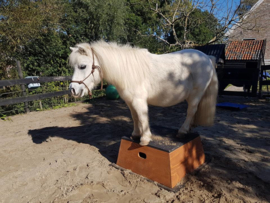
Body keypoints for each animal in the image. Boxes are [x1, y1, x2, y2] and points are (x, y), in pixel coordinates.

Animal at [68, 40, 218, 145]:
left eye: (82, 66)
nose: (72, 90)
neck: (126, 70)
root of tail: (207, 57)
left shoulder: (139, 101)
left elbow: (142, 117)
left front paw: (145, 139)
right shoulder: (130, 101)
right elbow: (135, 117)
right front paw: (135, 134)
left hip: (196, 95)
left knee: (191, 111)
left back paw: (182, 131)